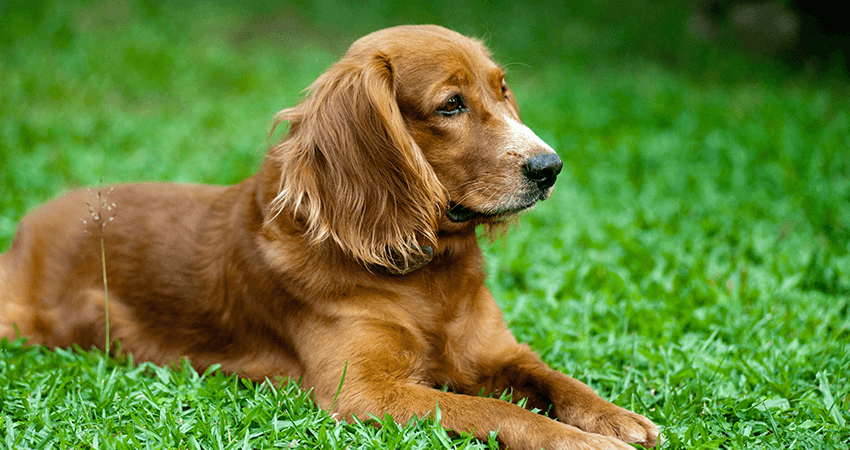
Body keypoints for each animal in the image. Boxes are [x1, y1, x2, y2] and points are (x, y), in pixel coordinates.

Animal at [0, 25, 660, 450]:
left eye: (502, 92)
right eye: (451, 105)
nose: (550, 167)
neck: (425, 274)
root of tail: (31, 222)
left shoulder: (499, 353)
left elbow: (556, 378)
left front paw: (615, 417)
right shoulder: (366, 392)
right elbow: (494, 410)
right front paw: (583, 443)